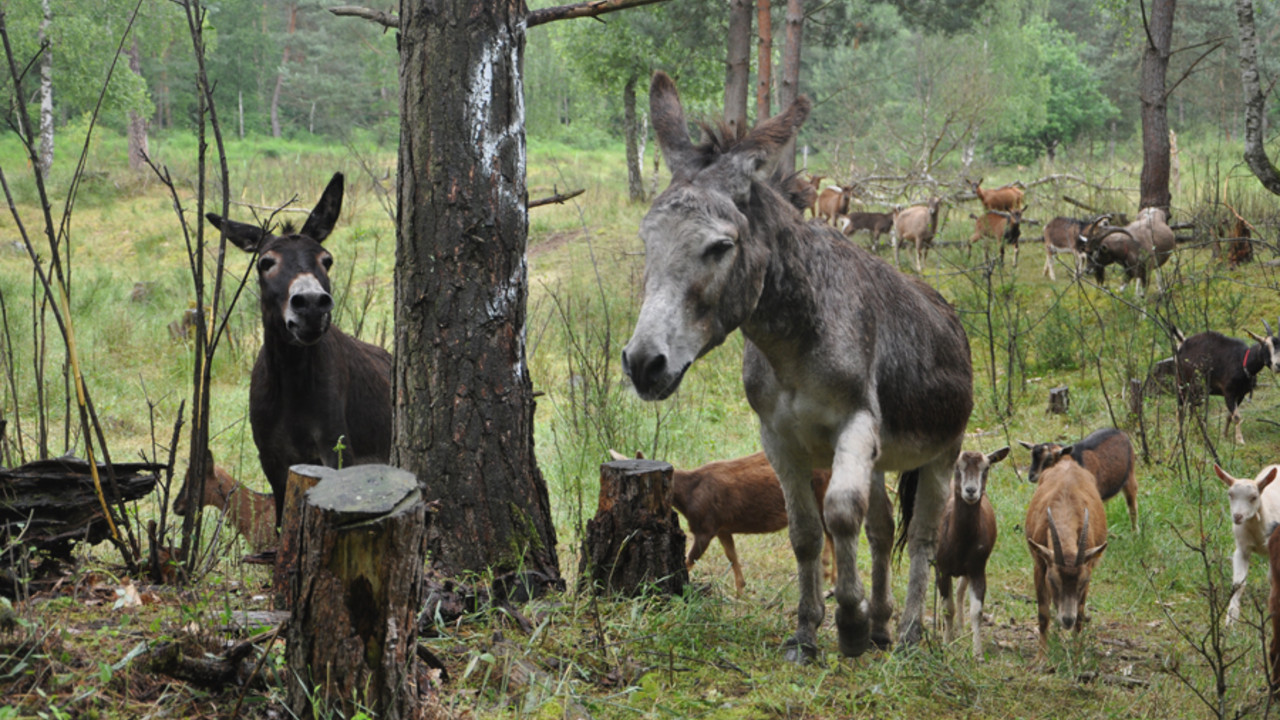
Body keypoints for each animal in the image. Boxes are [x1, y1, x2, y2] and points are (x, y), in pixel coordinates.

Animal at [606, 448, 834, 594]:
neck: (687, 497)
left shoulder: (705, 527)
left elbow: (688, 561)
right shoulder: (722, 527)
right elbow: (732, 557)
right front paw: (741, 593)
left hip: (822, 495)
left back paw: (831, 579)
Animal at [931, 445, 1008, 661]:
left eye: (986, 468)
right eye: (957, 467)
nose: (971, 490)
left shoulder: (977, 568)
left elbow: (976, 611)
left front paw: (978, 654)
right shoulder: (942, 568)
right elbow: (947, 608)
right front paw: (947, 646)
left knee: (959, 591)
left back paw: (960, 628)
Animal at [1024, 453, 1105, 650]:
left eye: (1083, 581)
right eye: (1053, 580)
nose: (1067, 619)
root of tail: (1067, 460)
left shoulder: (1087, 568)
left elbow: (1080, 617)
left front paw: (1076, 655)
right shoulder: (1040, 565)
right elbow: (1043, 615)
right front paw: (1042, 656)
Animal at [1213, 458, 1274, 622]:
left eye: (1254, 497)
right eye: (1230, 494)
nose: (1237, 516)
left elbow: (1272, 578)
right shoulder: (1241, 549)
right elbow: (1238, 584)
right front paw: (1231, 617)